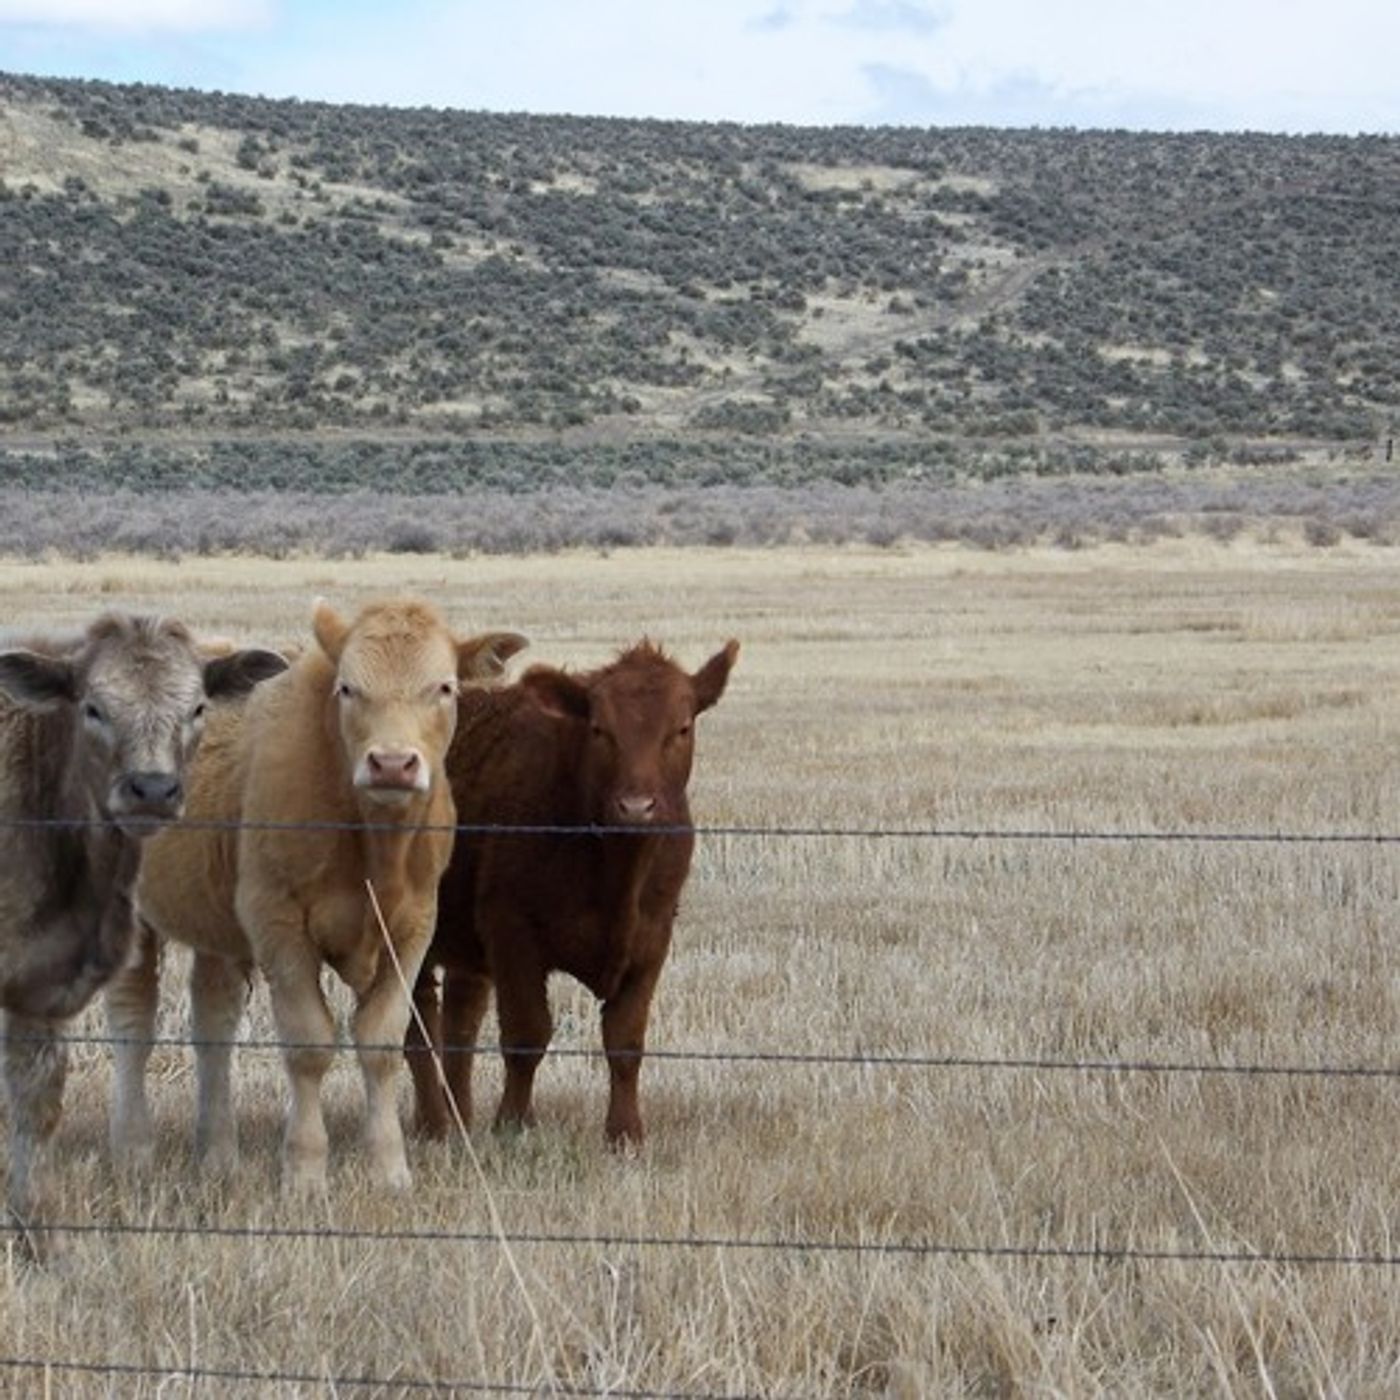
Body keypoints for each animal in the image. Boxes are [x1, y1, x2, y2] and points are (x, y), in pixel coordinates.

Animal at [0, 613, 286, 1249]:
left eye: (198, 707)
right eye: (93, 707)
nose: (152, 789)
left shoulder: (38, 983)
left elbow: (37, 1098)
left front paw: (37, 1230)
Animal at [107, 598, 526, 1193]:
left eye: (444, 688)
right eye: (348, 688)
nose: (392, 763)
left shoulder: (412, 930)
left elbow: (381, 1043)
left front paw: (389, 1168)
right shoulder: (278, 925)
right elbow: (308, 1045)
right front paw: (304, 1171)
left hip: (214, 928)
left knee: (213, 1021)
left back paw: (218, 1155)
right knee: (132, 1021)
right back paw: (132, 1149)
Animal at [406, 639, 738, 1147]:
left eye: (682, 728)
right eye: (599, 729)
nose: (636, 807)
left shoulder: (652, 940)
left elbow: (625, 1040)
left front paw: (625, 1134)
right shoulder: (512, 933)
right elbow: (526, 1035)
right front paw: (514, 1125)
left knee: (459, 1020)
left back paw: (458, 1118)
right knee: (418, 1023)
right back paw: (433, 1127)